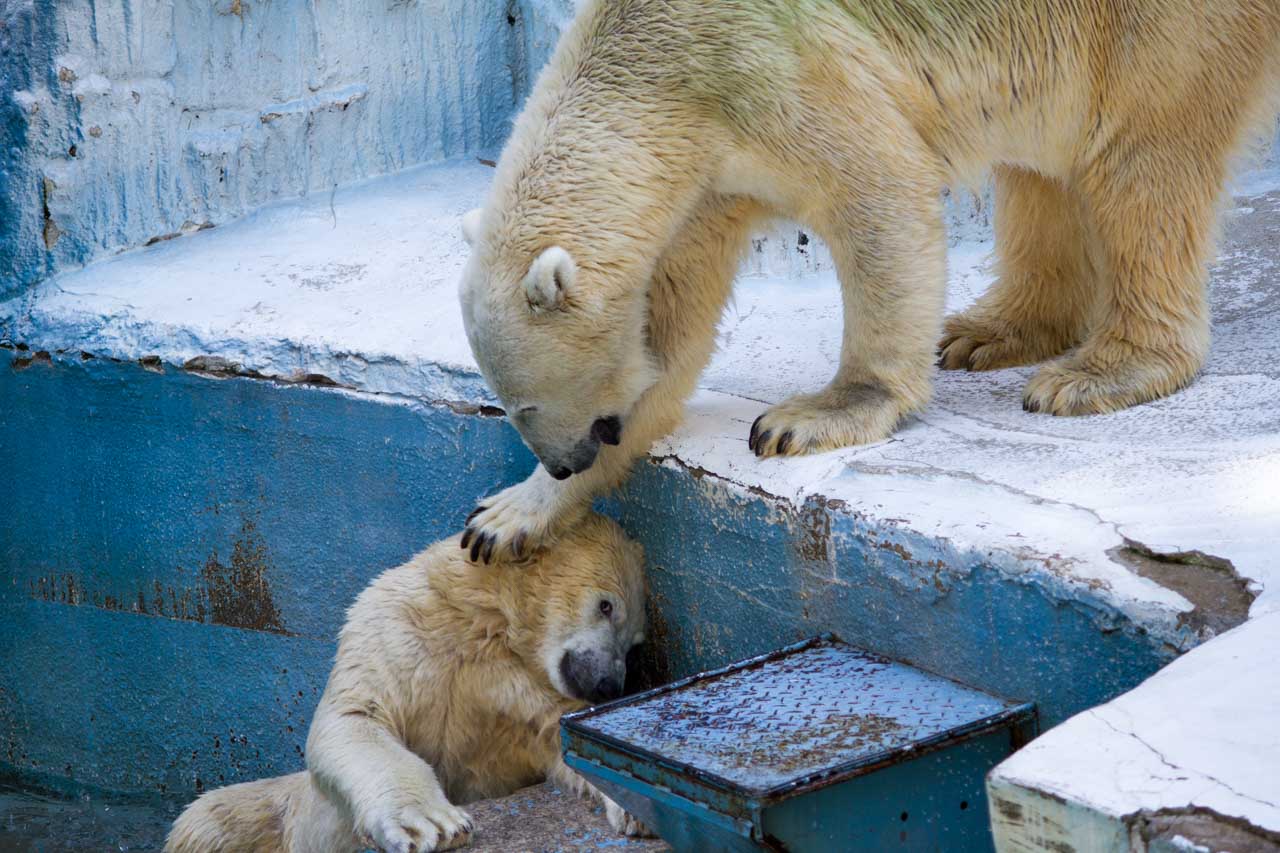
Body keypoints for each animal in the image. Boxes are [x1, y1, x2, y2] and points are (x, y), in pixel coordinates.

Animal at [163, 512, 650, 850]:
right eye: (607, 606)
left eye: (635, 645)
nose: (609, 684)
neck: (487, 625)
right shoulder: (399, 625)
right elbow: (358, 715)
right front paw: (435, 824)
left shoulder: (524, 695)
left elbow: (568, 743)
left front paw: (637, 802)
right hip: (280, 813)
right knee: (206, 822)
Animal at [458, 0, 1280, 558]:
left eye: (526, 404)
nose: (567, 460)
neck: (652, 61)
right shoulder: (700, 179)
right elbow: (671, 340)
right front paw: (504, 518)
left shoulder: (765, 74)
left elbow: (879, 191)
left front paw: (808, 417)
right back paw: (988, 333)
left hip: (1161, 25)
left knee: (1140, 158)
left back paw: (1098, 372)